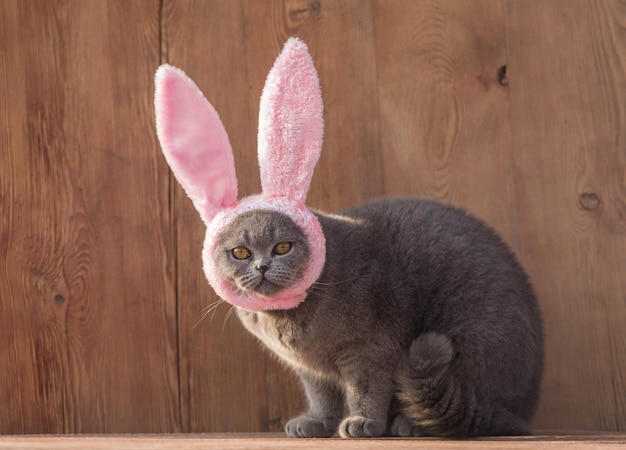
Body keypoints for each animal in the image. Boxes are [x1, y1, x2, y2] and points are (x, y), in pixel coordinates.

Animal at [152, 38, 540, 440]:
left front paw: (363, 423)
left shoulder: (370, 349)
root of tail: (524, 411)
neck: (292, 326)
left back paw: (410, 424)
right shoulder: (311, 369)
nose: (261, 265)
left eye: (282, 247)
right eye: (240, 252)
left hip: (472, 340)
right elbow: (321, 396)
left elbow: (365, 389)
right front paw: (315, 424)